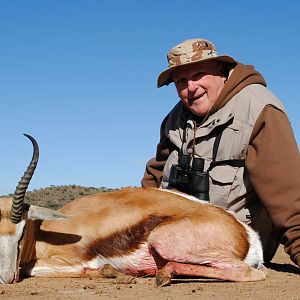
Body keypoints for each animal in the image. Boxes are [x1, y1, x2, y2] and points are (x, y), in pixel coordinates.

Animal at [0, 135, 268, 284]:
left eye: (21, 233)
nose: (6, 278)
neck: (45, 232)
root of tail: (247, 235)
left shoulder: (73, 260)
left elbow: (30, 268)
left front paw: (107, 272)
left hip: (162, 240)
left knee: (251, 273)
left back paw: (162, 275)